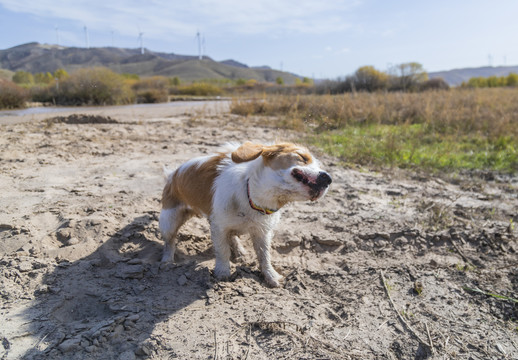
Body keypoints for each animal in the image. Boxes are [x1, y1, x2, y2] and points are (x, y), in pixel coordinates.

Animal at [160, 141, 336, 286]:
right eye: (302, 157)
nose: (328, 178)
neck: (253, 197)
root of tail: (172, 175)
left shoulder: (262, 232)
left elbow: (264, 256)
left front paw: (271, 276)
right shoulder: (219, 227)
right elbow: (222, 251)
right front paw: (222, 273)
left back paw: (239, 251)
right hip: (168, 221)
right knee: (170, 241)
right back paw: (167, 261)